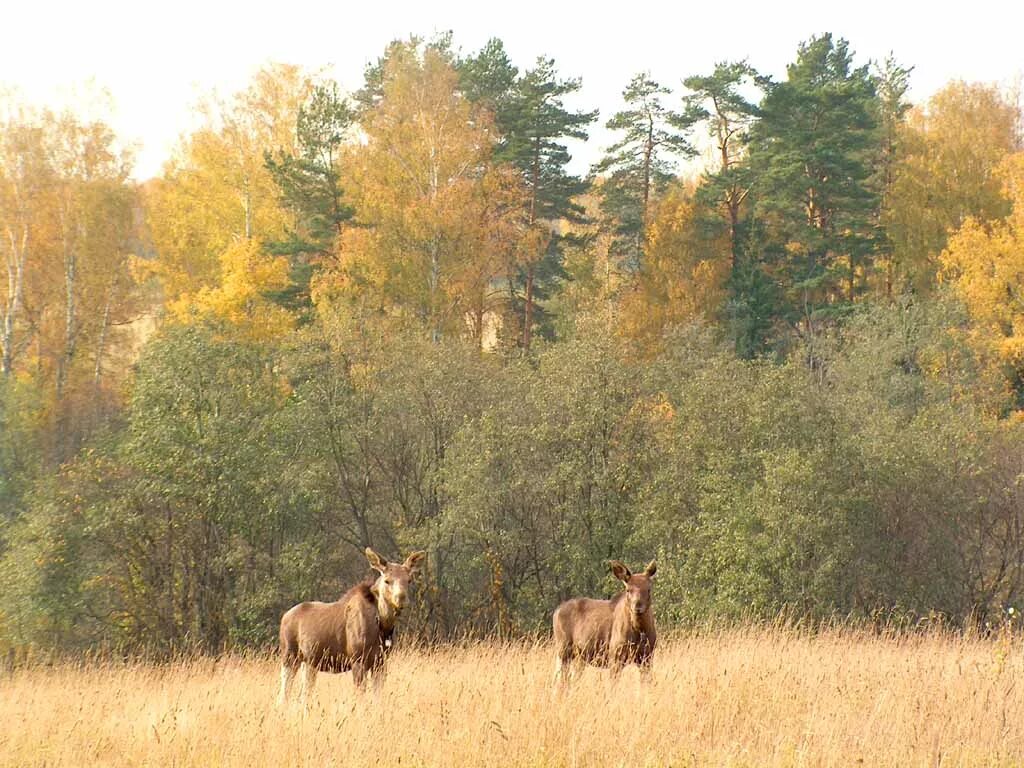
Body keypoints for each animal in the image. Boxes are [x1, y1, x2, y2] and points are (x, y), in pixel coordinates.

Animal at [274, 548, 425, 708]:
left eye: (409, 580)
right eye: (387, 580)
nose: (401, 598)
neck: (383, 625)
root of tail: (284, 617)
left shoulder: (380, 662)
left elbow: (377, 699)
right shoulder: (357, 659)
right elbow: (360, 697)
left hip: (309, 662)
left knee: (304, 695)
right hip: (289, 656)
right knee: (283, 695)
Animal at [552, 557, 655, 688]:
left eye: (649, 589)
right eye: (628, 590)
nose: (638, 606)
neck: (640, 630)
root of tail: (556, 611)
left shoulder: (647, 657)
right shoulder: (615, 656)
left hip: (578, 657)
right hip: (563, 650)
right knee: (560, 681)